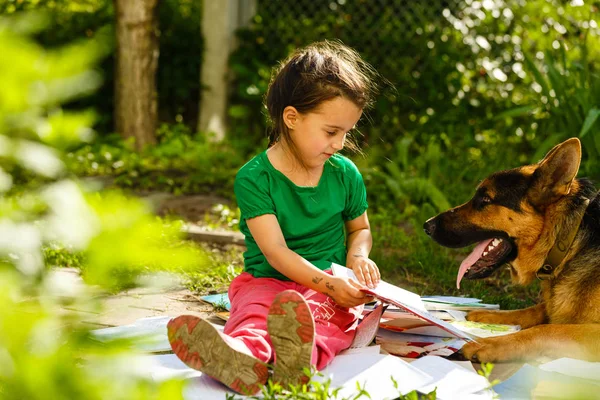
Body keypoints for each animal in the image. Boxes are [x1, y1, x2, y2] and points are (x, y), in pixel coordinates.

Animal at [422, 138, 600, 362]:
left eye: (485, 200)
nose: (427, 226)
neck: (567, 242)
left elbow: (546, 329)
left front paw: (488, 344)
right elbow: (532, 310)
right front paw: (491, 316)